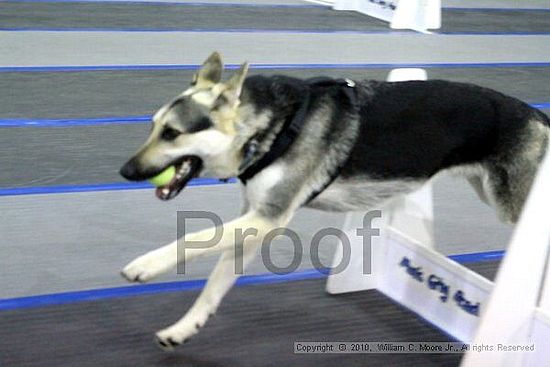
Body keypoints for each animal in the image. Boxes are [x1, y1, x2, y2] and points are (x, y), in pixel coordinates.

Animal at [118, 52, 548, 350]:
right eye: (152, 127)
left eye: (172, 134)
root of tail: (538, 116)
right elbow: (212, 287)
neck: (268, 129)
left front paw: (144, 266)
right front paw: (182, 329)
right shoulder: (254, 225)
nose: (124, 171)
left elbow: (190, 240)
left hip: (512, 207)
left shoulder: (269, 218)